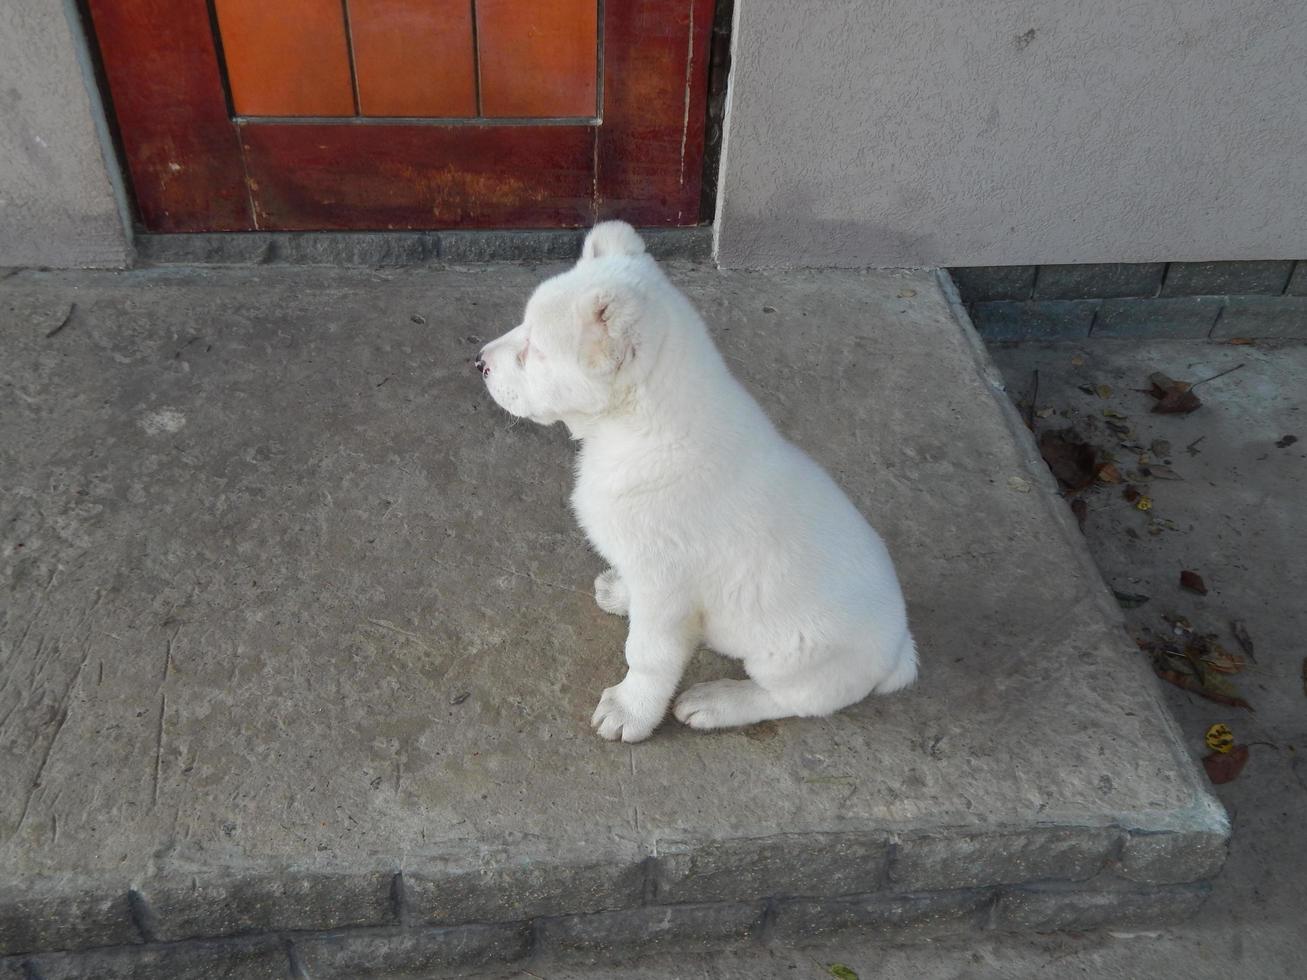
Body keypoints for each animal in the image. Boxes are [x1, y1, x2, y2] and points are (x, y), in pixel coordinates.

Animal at [475, 224, 914, 742]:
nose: (478, 362)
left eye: (535, 352)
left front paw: (631, 711)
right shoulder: (649, 577)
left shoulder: (667, 588)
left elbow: (647, 657)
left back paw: (718, 702)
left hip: (796, 660)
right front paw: (621, 593)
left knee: (787, 699)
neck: (639, 431)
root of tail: (900, 649)